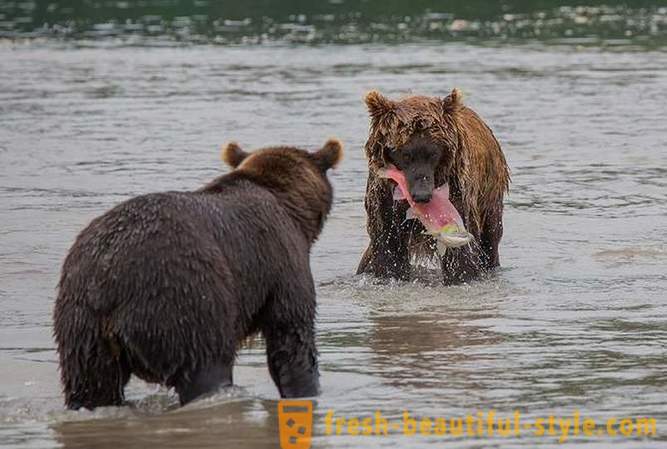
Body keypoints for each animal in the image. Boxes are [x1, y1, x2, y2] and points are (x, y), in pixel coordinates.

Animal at [53, 138, 344, 408]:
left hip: (83, 330)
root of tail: (106, 278)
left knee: (93, 387)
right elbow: (292, 339)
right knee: (206, 368)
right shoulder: (283, 262)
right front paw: (307, 389)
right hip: (183, 301)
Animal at [360, 89, 512, 282]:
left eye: (433, 153)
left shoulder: (456, 193)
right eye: (405, 154)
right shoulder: (384, 200)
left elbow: (461, 253)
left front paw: (461, 275)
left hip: (490, 193)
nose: (421, 195)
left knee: (490, 238)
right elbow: (387, 245)